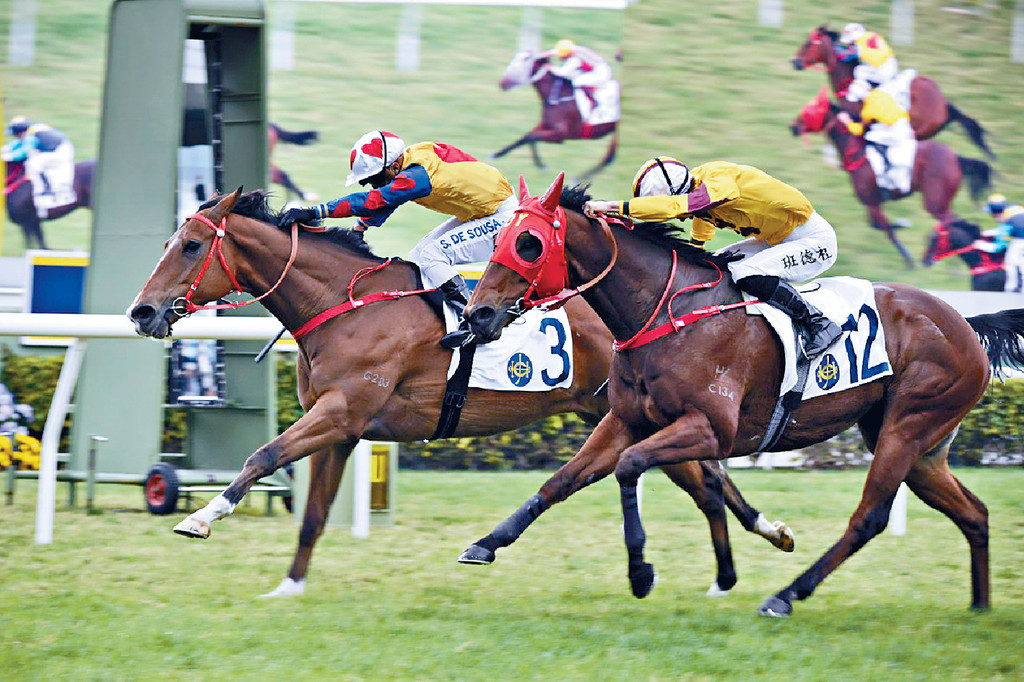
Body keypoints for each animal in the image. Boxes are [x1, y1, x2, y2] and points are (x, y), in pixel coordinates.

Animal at [127, 188, 798, 598]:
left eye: (190, 245)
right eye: (166, 243)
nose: (141, 312)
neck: (344, 301)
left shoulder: (342, 410)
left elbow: (261, 455)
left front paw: (203, 516)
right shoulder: (342, 428)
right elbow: (312, 513)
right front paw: (289, 586)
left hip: (631, 412)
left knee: (703, 479)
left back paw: (757, 544)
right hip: (621, 414)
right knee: (705, 482)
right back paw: (756, 545)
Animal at [464, 173, 1024, 617]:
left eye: (529, 243)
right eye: (498, 240)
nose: (477, 314)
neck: (664, 310)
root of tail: (964, 322)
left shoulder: (711, 428)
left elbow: (631, 466)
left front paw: (641, 572)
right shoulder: (624, 419)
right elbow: (562, 480)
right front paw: (486, 543)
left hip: (908, 426)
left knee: (870, 517)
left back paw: (786, 595)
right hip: (920, 444)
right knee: (974, 513)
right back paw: (979, 605)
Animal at [493, 51, 618, 182]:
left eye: (524, 63)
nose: (503, 83)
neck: (558, 96)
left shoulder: (560, 135)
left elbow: (532, 137)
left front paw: (543, 167)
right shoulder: (546, 125)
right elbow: (526, 137)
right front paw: (496, 154)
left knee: (609, 157)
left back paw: (578, 178)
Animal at [790, 90, 992, 268]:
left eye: (810, 111)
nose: (793, 127)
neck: (858, 153)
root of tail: (956, 158)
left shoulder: (872, 201)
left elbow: (885, 228)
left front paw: (908, 258)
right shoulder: (872, 201)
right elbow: (877, 225)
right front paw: (902, 225)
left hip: (935, 202)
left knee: (950, 221)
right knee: (953, 221)